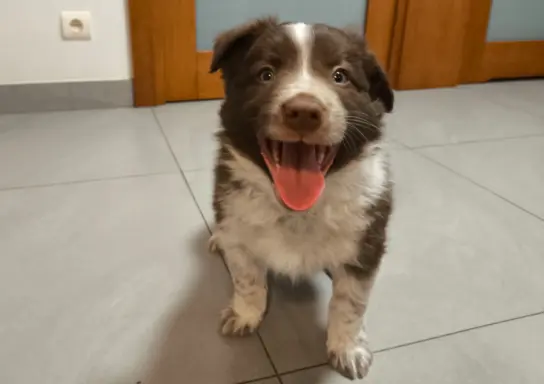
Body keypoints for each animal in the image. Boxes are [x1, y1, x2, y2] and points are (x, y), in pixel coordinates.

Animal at [210, 17, 394, 378]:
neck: (297, 211)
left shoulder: (366, 242)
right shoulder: (237, 228)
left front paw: (347, 347)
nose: (304, 112)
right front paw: (245, 314)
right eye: (266, 74)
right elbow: (247, 279)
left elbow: (351, 302)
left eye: (340, 76)